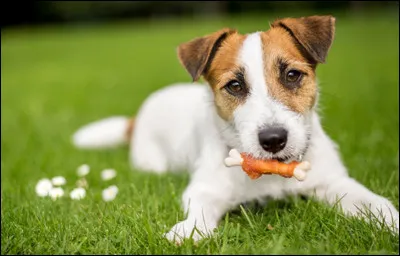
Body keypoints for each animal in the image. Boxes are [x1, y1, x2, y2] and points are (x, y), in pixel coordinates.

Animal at [72, 14, 400, 244]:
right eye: (235, 86)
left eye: (292, 75)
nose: (273, 140)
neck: (271, 173)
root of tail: (138, 117)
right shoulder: (206, 188)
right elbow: (200, 209)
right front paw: (188, 230)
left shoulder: (334, 182)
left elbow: (373, 202)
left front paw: (392, 221)